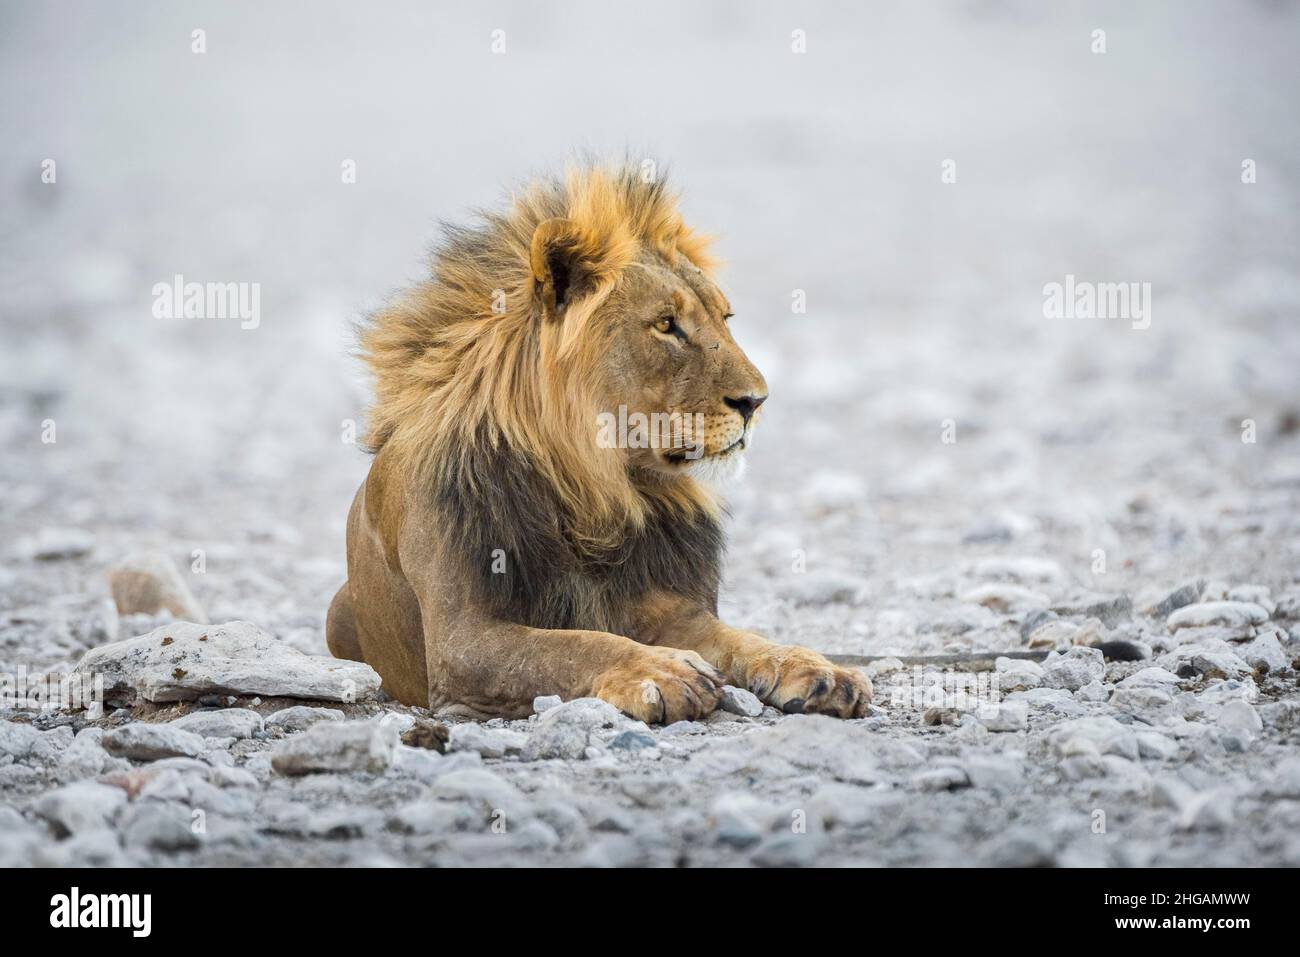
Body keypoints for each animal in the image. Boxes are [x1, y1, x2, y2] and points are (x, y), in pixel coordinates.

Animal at [325, 164, 873, 722]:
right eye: (666, 325)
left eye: (725, 318)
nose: (756, 401)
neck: (594, 492)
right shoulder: (462, 643)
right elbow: (572, 646)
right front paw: (662, 672)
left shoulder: (676, 611)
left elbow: (743, 639)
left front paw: (814, 668)